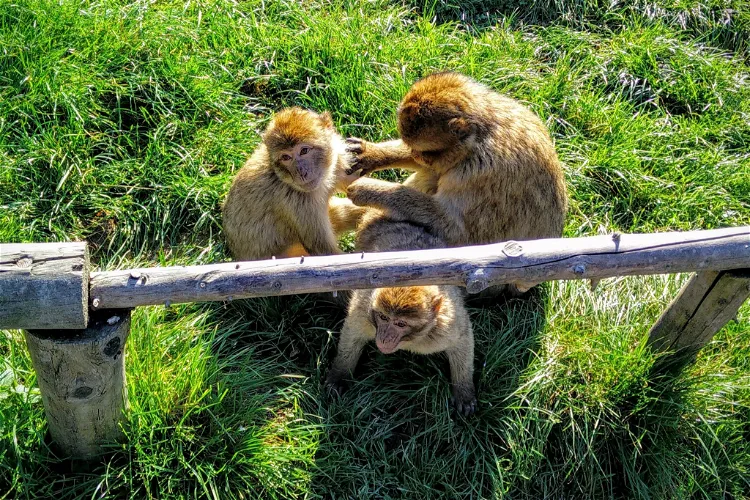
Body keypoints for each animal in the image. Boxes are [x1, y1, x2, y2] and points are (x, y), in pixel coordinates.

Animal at [222, 107, 364, 261]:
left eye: (304, 150)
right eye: (286, 157)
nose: (301, 172)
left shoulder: (337, 161)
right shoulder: (296, 202)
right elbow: (324, 251)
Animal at [325, 209, 477, 416]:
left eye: (400, 324)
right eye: (383, 317)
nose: (384, 338)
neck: (410, 341)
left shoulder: (446, 327)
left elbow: (463, 339)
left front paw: (464, 390)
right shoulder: (363, 311)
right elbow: (352, 334)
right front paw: (339, 374)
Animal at [345, 72, 568, 295]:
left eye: (426, 152)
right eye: (416, 150)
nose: (416, 155)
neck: (478, 139)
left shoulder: (479, 175)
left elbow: (456, 230)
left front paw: (367, 189)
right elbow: (433, 171)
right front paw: (372, 154)